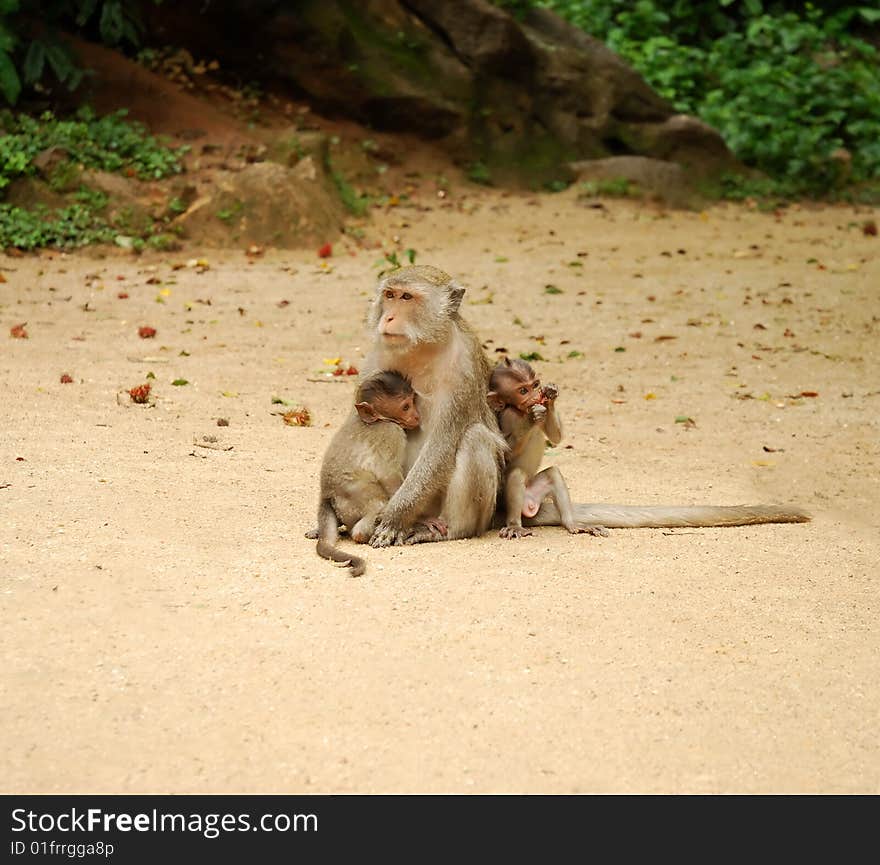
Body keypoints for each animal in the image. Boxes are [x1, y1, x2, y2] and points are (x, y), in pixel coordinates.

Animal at [488, 356, 604, 532]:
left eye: (535, 384)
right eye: (523, 391)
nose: (537, 395)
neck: (520, 410)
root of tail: (529, 503)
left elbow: (555, 437)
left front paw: (551, 394)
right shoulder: (508, 415)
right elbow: (505, 453)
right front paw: (530, 418)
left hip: (535, 490)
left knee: (553, 474)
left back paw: (572, 523)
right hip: (501, 500)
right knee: (516, 475)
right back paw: (515, 525)